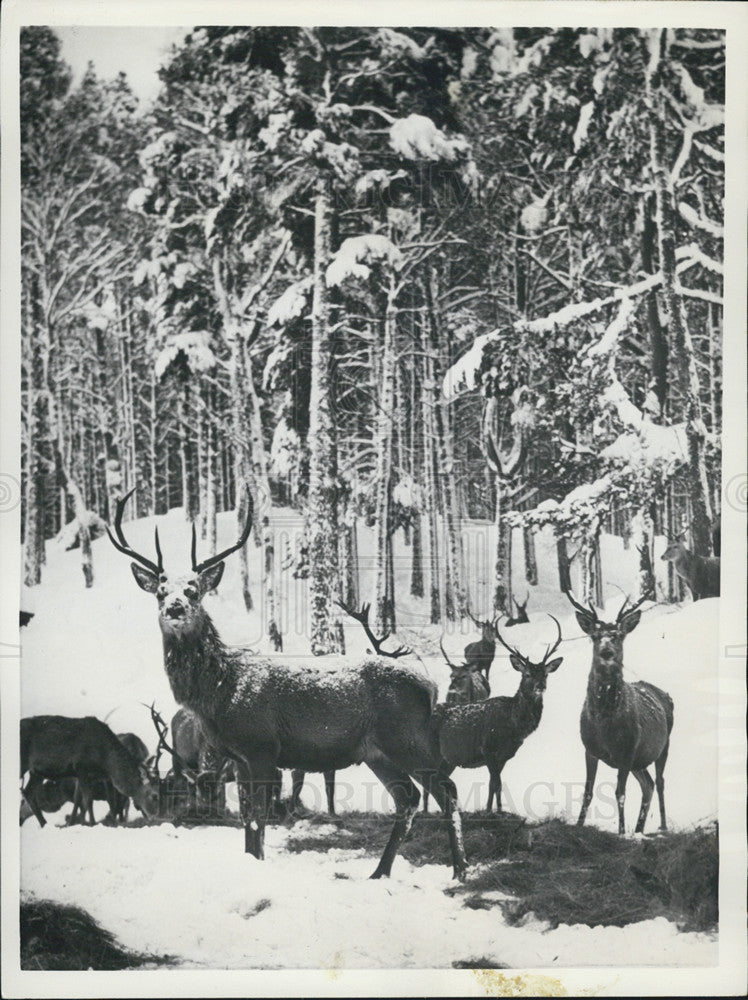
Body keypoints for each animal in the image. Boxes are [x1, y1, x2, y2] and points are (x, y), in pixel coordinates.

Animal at [20, 720, 158, 828]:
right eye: (154, 796)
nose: (154, 817)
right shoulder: (83, 773)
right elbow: (86, 799)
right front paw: (87, 822)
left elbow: (109, 800)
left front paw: (112, 821)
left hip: (36, 772)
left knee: (28, 792)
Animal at [436, 616, 564, 812]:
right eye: (527, 674)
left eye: (545, 674)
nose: (540, 686)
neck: (513, 727)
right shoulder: (488, 749)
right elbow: (495, 783)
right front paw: (490, 811)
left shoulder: (505, 755)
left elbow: (496, 784)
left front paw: (497, 810)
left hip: (447, 760)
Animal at [564, 592, 676, 836]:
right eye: (596, 636)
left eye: (618, 636)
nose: (606, 652)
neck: (603, 723)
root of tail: (665, 695)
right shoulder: (590, 749)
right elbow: (587, 792)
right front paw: (578, 826)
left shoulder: (627, 749)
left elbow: (620, 793)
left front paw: (622, 832)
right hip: (639, 761)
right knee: (648, 784)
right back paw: (639, 829)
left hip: (663, 746)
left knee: (660, 782)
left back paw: (661, 826)